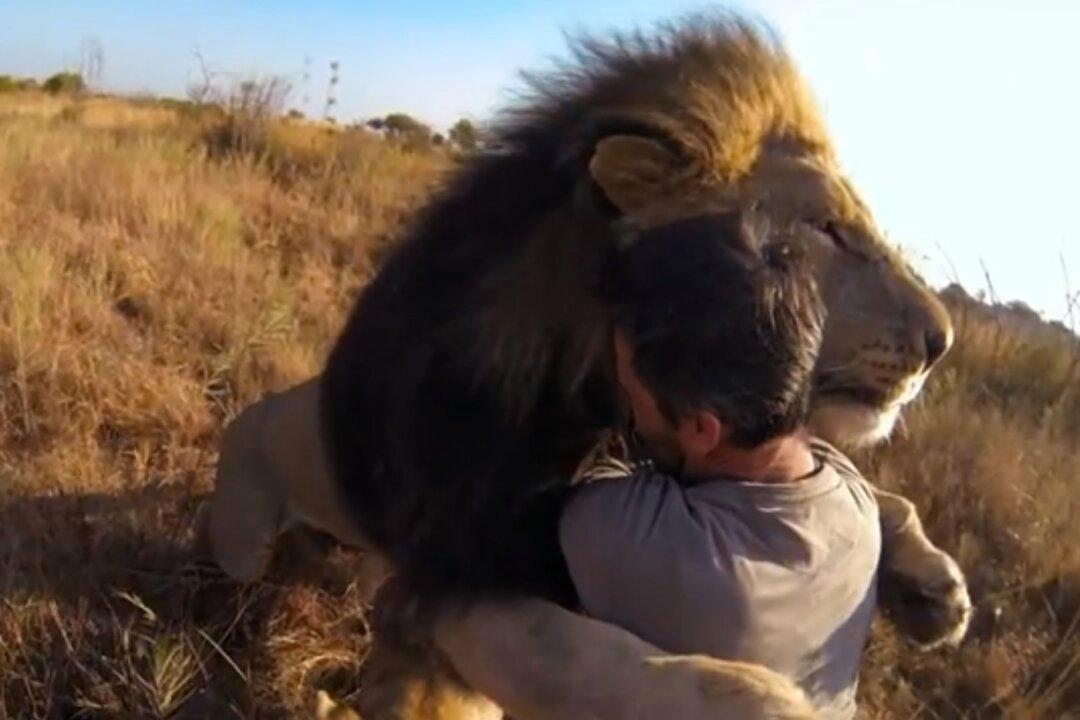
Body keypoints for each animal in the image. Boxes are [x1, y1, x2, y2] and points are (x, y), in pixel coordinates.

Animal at [208, 15, 971, 719]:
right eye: (827, 230)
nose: (941, 342)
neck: (596, 393)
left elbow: (872, 489)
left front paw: (933, 587)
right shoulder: (445, 569)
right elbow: (576, 652)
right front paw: (760, 700)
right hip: (240, 541)